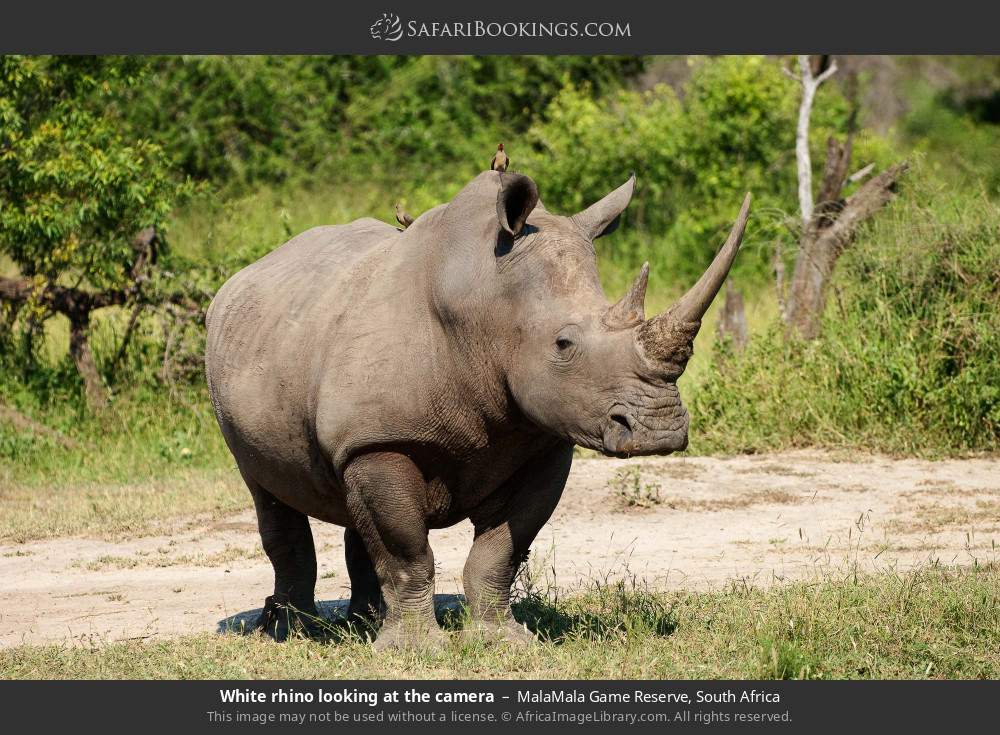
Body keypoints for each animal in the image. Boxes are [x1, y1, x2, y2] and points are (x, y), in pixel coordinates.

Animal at [205, 171, 750, 648]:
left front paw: (505, 642)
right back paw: (288, 634)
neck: (486, 303)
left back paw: (363, 624)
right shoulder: (382, 438)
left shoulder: (542, 443)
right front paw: (414, 651)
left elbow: (500, 551)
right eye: (564, 344)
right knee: (267, 492)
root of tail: (242, 278)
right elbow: (407, 552)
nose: (660, 431)